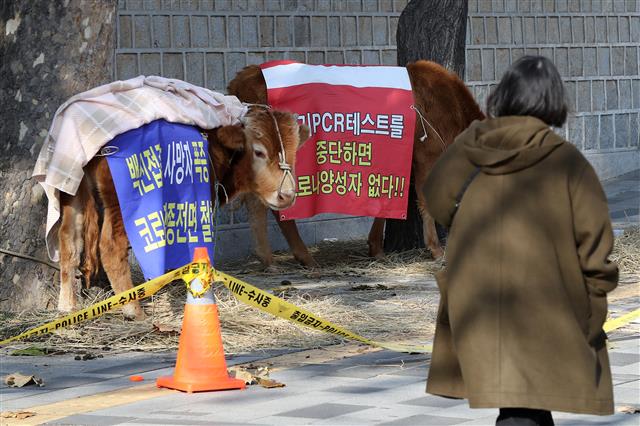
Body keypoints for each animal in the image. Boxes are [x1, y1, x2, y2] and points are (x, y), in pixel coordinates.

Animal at [56, 107, 312, 320]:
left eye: (294, 151)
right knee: (110, 247)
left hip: (73, 195)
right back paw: (133, 310)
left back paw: (67, 306)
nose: (287, 195)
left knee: (68, 240)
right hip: (121, 205)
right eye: (259, 152)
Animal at [228, 60, 482, 266]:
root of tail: (244, 77)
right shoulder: (427, 153)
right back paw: (303, 257)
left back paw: (267, 257)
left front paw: (376, 247)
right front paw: (436, 250)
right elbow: (422, 199)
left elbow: (388, 199)